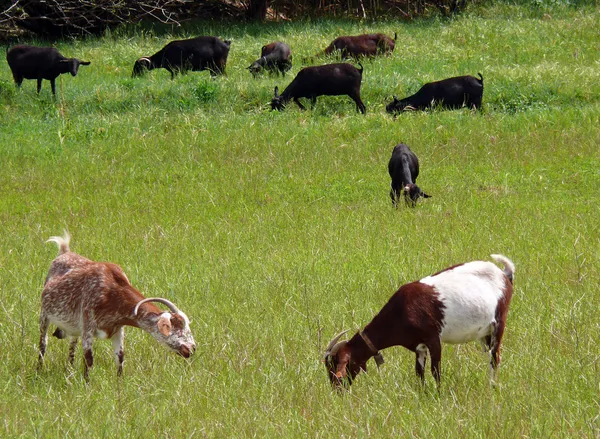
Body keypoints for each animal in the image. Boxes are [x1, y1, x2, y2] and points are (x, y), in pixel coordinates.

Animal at [38, 234, 197, 382]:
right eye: (174, 326)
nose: (192, 348)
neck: (112, 291)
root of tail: (64, 252)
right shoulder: (88, 326)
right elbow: (89, 359)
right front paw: (87, 385)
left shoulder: (118, 329)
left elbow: (120, 357)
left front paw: (119, 384)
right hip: (44, 316)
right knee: (43, 344)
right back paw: (38, 371)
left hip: (73, 329)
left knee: (72, 346)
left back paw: (69, 370)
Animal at [324, 256, 516, 390]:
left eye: (336, 366)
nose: (337, 391)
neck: (401, 311)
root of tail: (504, 274)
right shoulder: (419, 347)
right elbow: (419, 372)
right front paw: (422, 394)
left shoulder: (433, 338)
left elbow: (435, 370)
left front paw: (439, 395)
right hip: (485, 334)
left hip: (499, 322)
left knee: (495, 357)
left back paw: (491, 388)